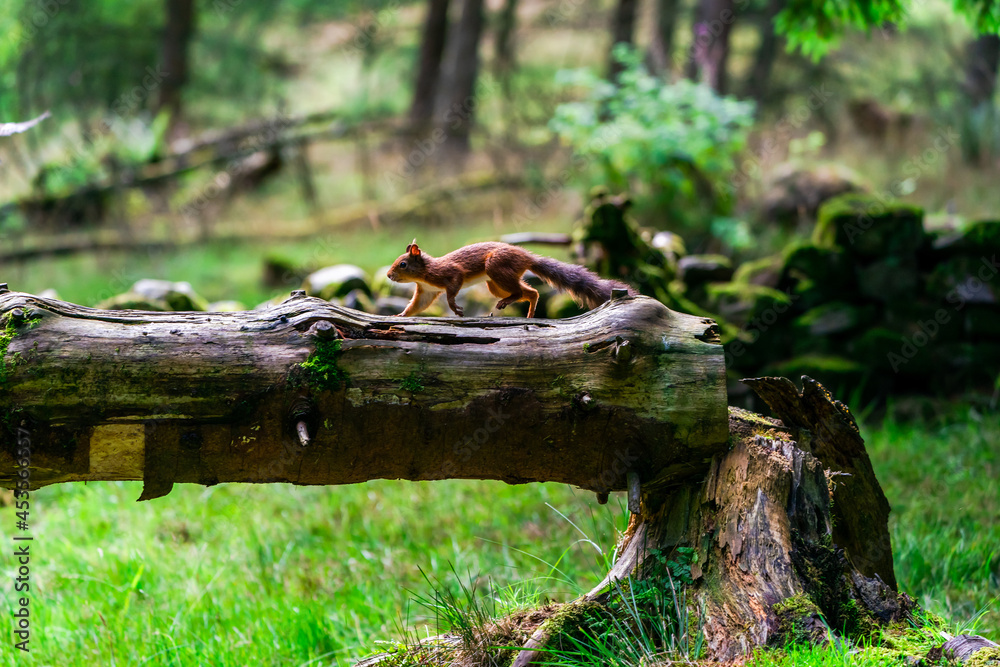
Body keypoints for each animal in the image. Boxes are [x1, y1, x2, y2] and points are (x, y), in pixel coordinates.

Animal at [386, 240, 634, 318]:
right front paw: (400, 315)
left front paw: (455, 308)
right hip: (494, 284)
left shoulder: (451, 273)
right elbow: (417, 306)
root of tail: (527, 257)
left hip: (496, 267)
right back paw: (529, 313)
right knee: (530, 292)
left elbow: (452, 291)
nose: (388, 275)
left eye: (402, 264)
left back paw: (512, 305)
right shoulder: (426, 291)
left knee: (523, 292)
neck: (425, 273)